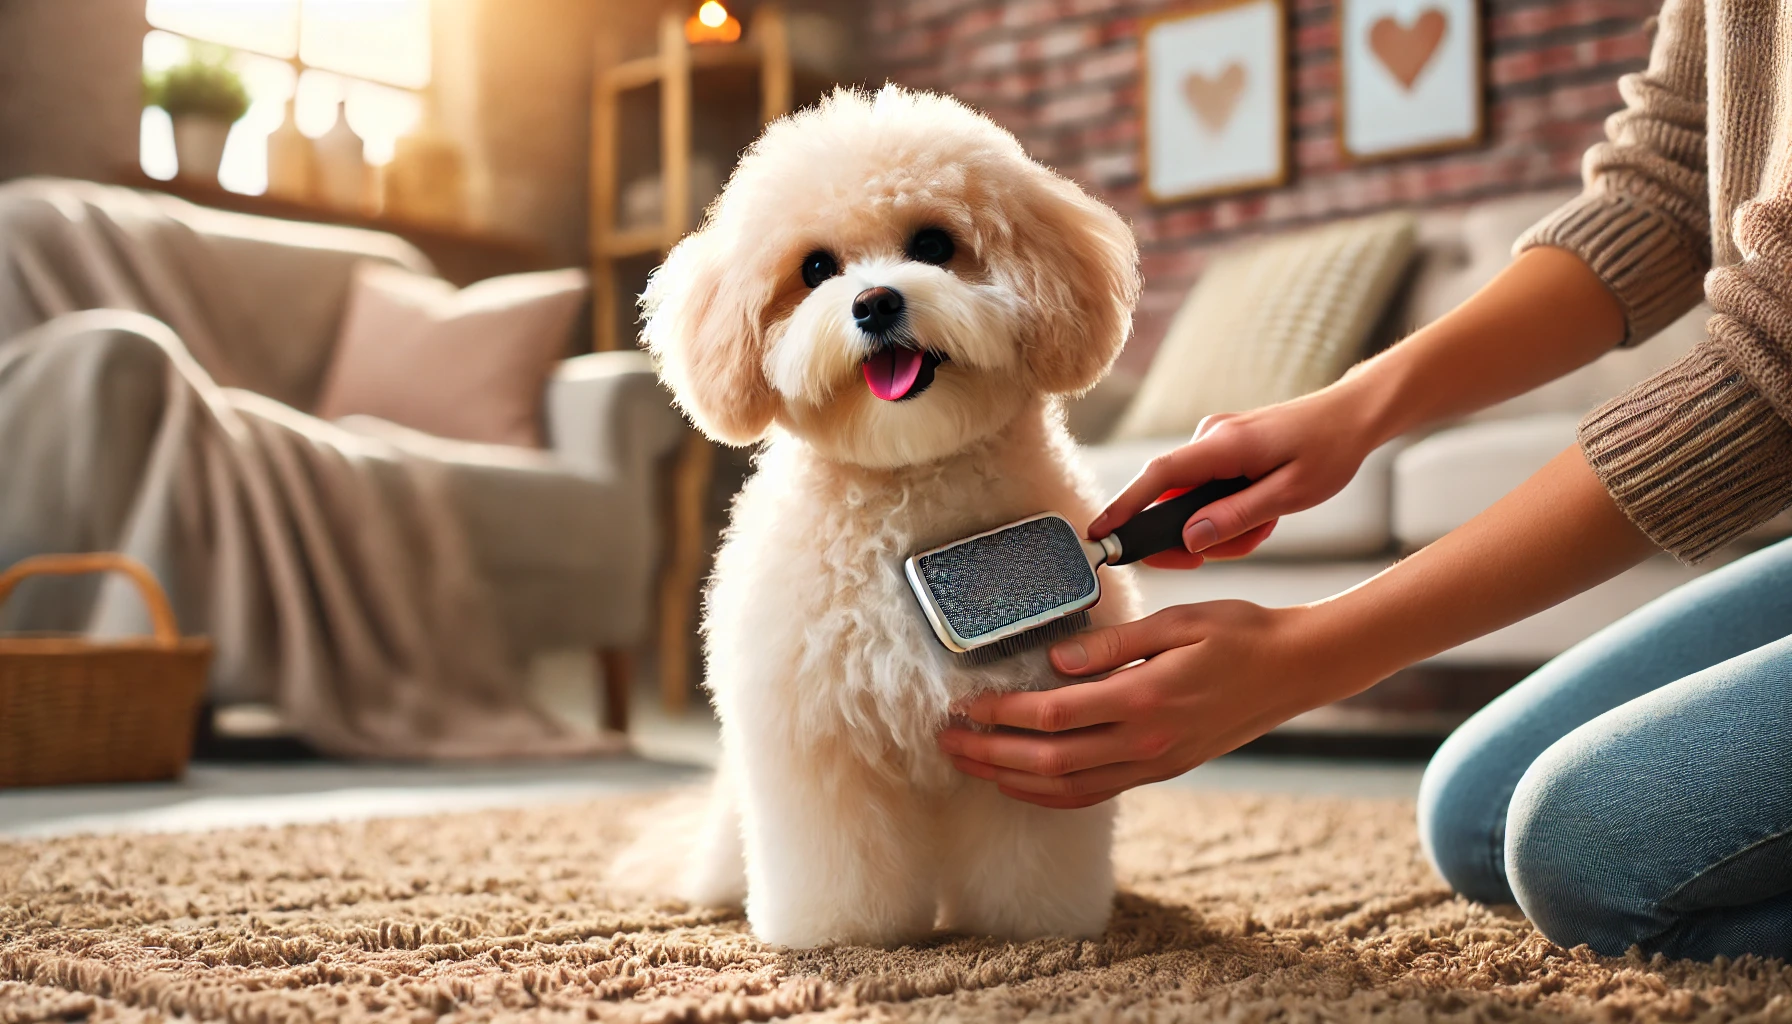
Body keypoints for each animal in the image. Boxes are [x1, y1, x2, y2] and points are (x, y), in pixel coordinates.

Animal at [645, 84, 1139, 946]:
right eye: (815, 268)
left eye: (934, 243)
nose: (876, 302)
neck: (910, 484)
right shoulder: (818, 743)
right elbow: (837, 861)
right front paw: (841, 935)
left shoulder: (1034, 740)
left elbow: (1031, 857)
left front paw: (1034, 927)